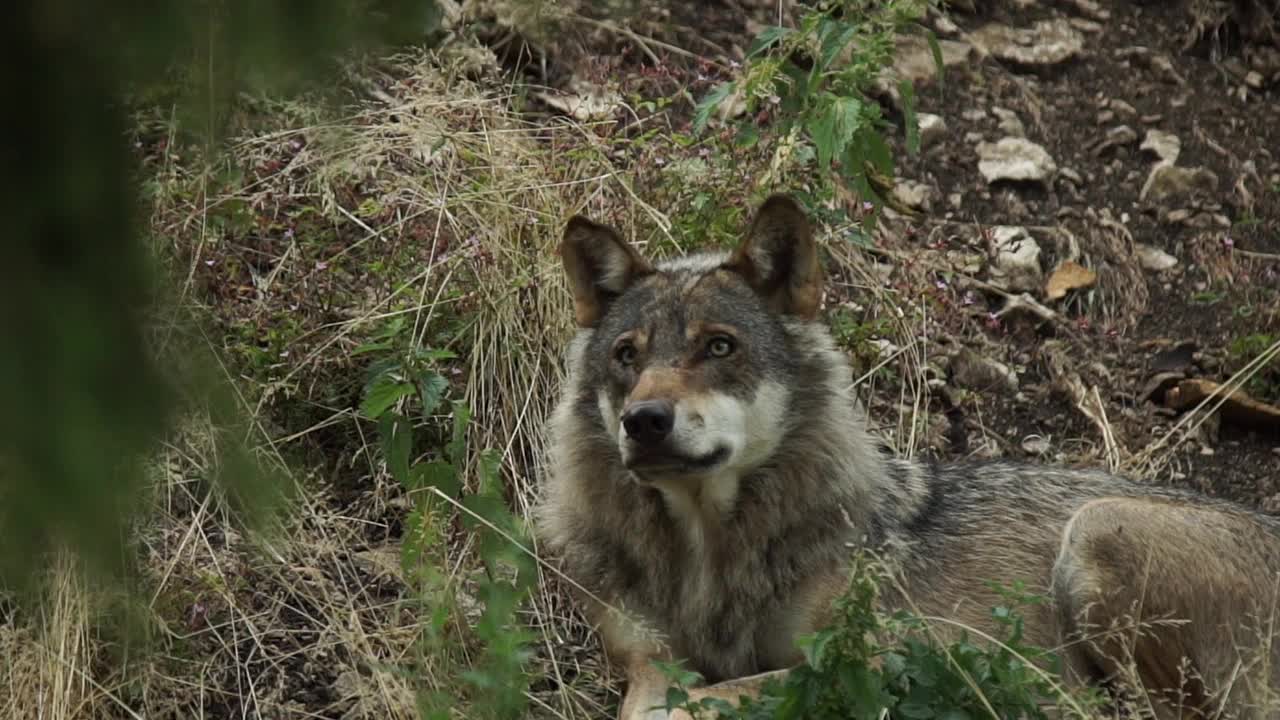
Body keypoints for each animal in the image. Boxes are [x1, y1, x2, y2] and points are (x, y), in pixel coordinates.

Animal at [532, 194, 1280, 717]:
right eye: (627, 356)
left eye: (719, 347)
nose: (644, 422)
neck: (710, 560)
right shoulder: (647, 660)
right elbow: (655, 702)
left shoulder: (874, 660)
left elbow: (714, 699)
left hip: (1098, 532)